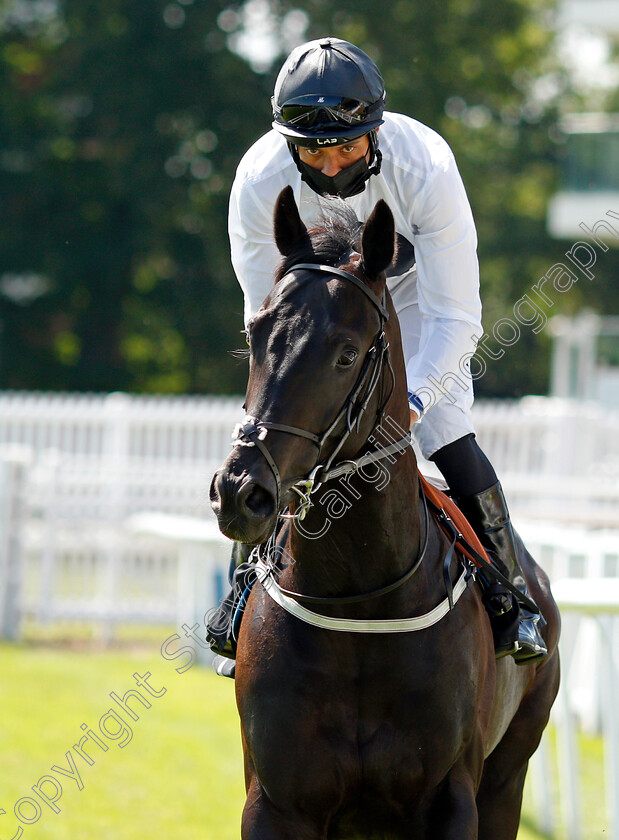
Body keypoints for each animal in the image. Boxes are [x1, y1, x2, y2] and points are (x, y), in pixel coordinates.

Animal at [209, 189, 560, 840]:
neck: (360, 598)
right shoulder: (276, 802)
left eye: (347, 353)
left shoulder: (452, 799)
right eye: (255, 333)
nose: (241, 491)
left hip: (509, 776)